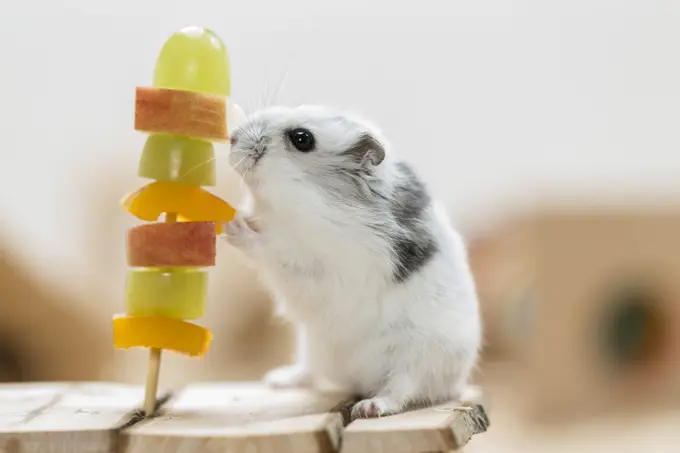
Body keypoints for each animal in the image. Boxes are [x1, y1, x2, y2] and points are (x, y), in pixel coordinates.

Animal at [226, 104, 480, 418]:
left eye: (302, 139)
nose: (232, 138)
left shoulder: (315, 267)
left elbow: (269, 249)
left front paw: (232, 225)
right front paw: (240, 214)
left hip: (418, 358)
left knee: (400, 391)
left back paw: (369, 407)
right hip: (311, 343)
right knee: (311, 370)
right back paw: (277, 380)